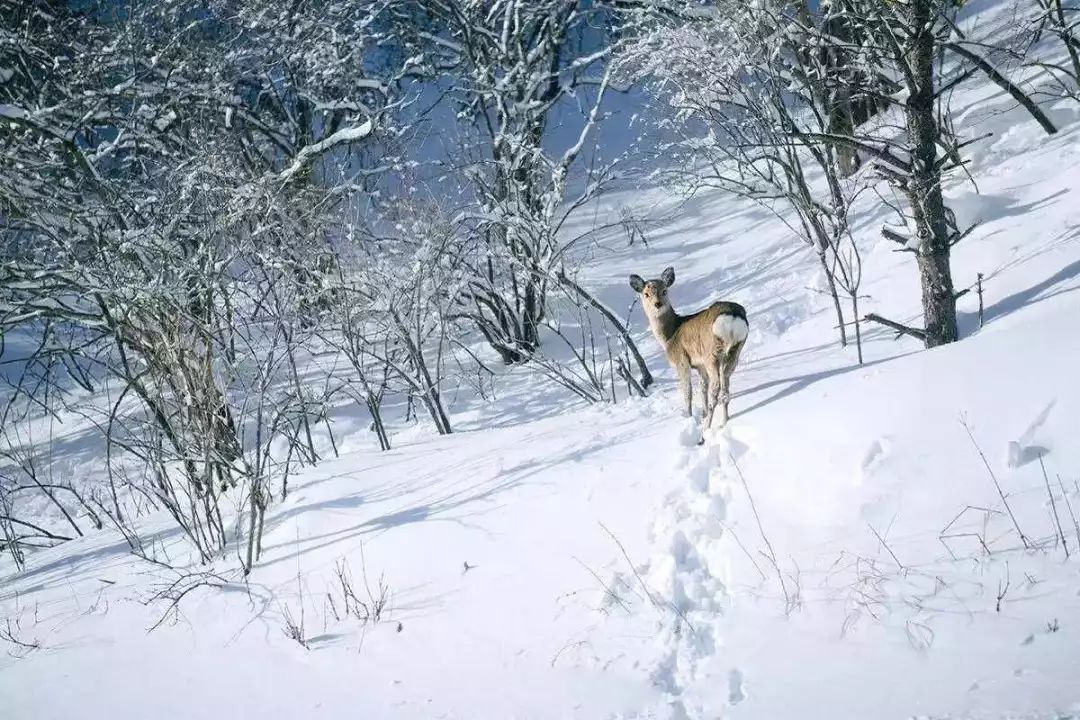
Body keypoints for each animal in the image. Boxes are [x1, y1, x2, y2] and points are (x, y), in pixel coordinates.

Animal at [630, 267, 747, 431]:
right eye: (646, 294)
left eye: (664, 291)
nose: (657, 304)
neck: (670, 335)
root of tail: (733, 318)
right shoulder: (699, 365)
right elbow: (702, 388)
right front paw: (702, 414)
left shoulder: (682, 360)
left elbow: (688, 392)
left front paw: (689, 417)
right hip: (735, 352)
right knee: (725, 390)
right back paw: (724, 422)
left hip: (712, 353)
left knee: (716, 388)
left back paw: (707, 427)